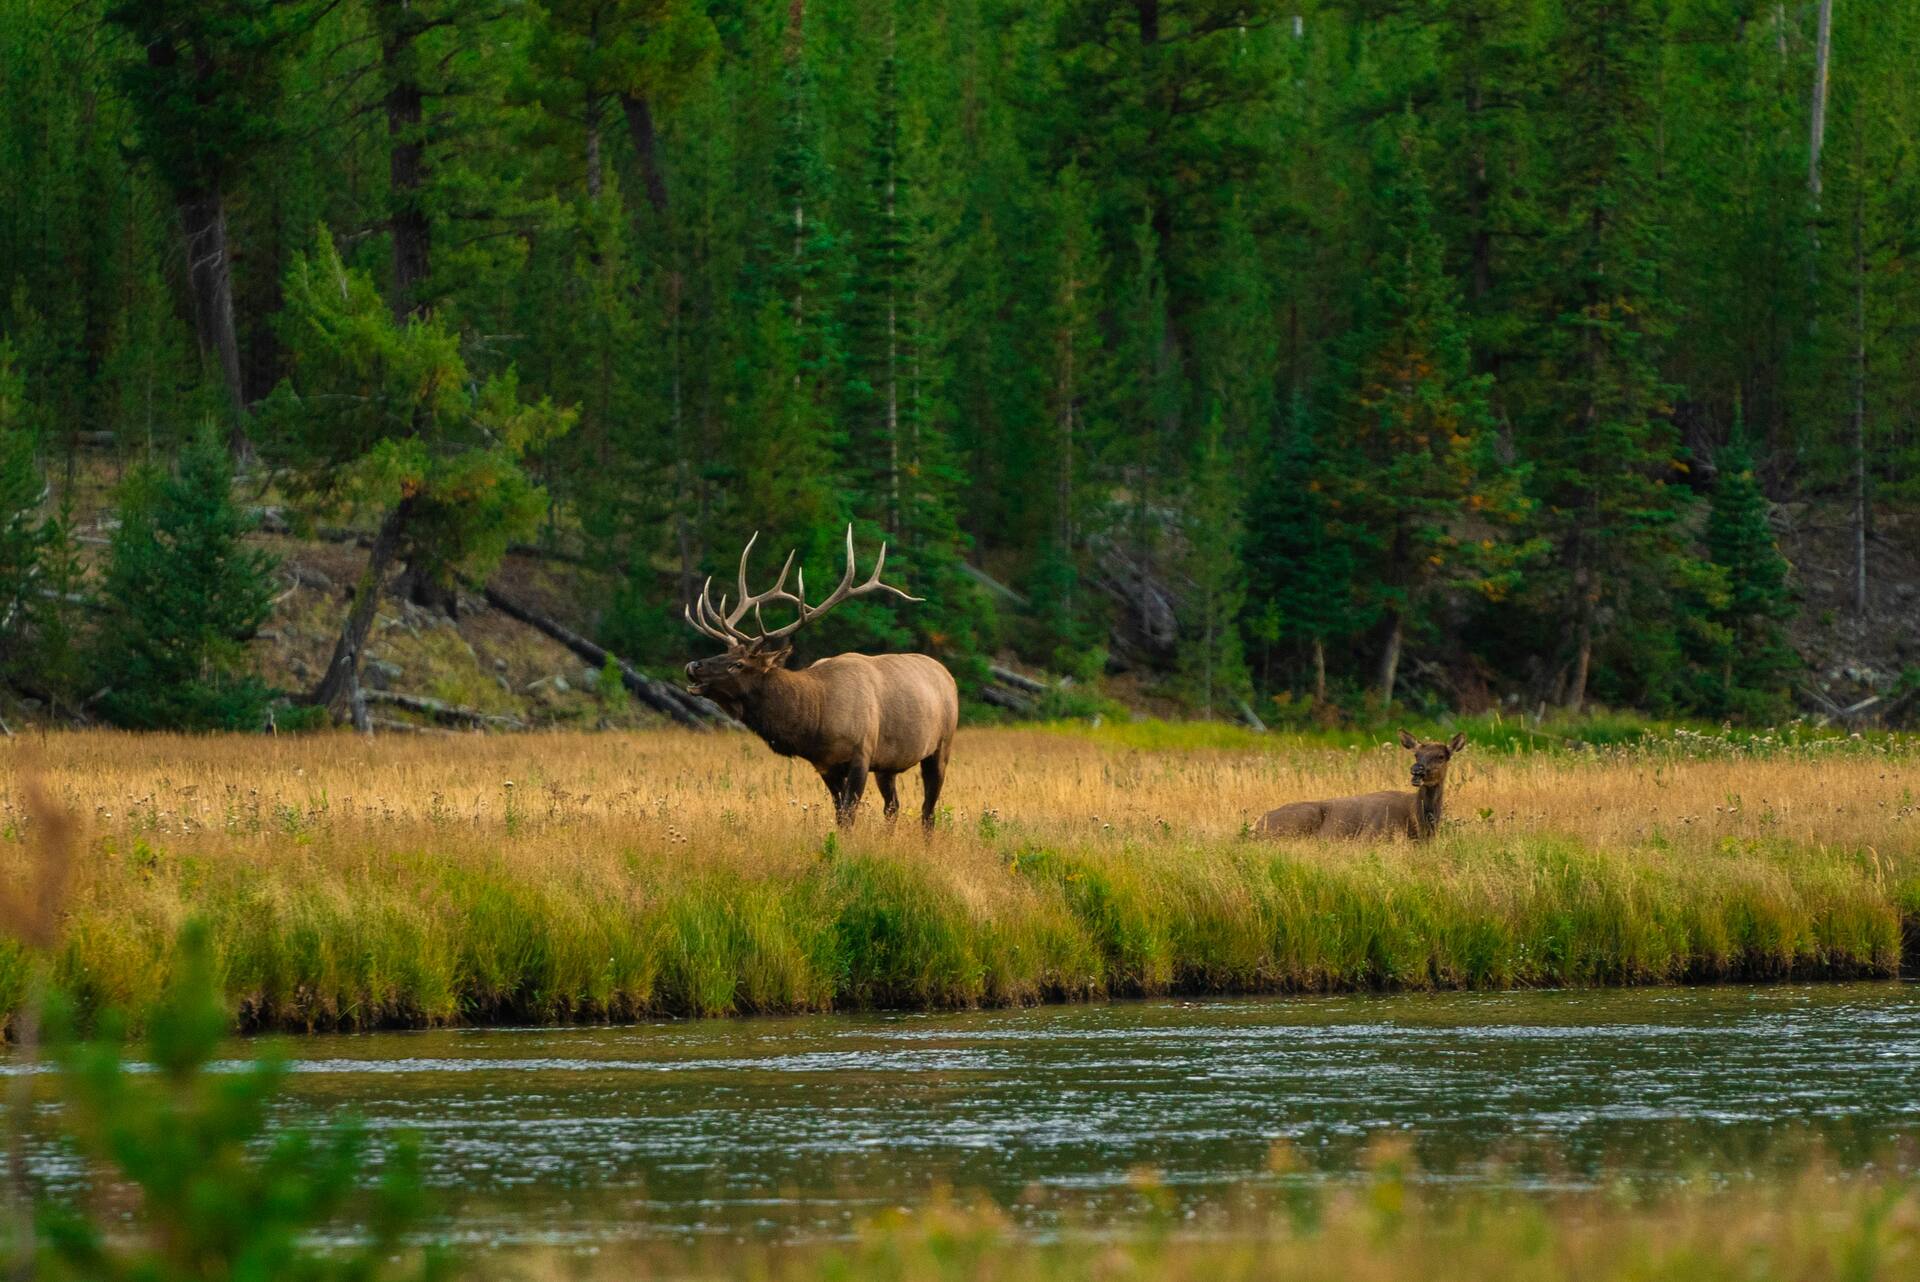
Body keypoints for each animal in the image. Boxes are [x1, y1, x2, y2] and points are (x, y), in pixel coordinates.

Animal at [683, 525, 959, 830]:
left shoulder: (861, 753)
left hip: (941, 746)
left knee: (928, 809)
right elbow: (839, 814)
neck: (816, 718)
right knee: (893, 806)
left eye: (738, 664)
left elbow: (849, 814)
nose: (693, 665)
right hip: (889, 763)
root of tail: (947, 675)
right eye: (724, 653)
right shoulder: (825, 764)